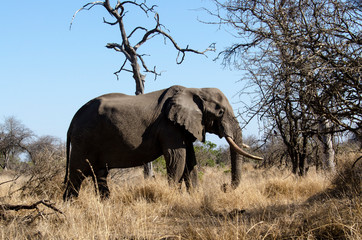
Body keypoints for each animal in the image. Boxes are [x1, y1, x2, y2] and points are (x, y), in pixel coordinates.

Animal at [63, 85, 264, 200]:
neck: (194, 89)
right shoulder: (169, 126)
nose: (224, 187)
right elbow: (177, 158)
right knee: (77, 174)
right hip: (84, 139)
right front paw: (173, 196)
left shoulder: (182, 127)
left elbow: (190, 162)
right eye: (221, 112)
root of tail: (72, 121)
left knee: (100, 175)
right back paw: (69, 206)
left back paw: (105, 204)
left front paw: (194, 197)